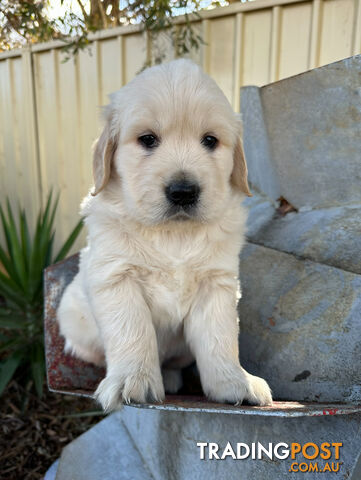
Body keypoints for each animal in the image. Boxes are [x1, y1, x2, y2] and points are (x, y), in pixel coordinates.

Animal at [57, 58, 270, 410]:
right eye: (147, 139)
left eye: (210, 141)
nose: (183, 192)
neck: (173, 236)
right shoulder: (117, 278)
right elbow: (132, 330)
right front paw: (132, 380)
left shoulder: (217, 284)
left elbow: (220, 338)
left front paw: (234, 382)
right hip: (74, 322)